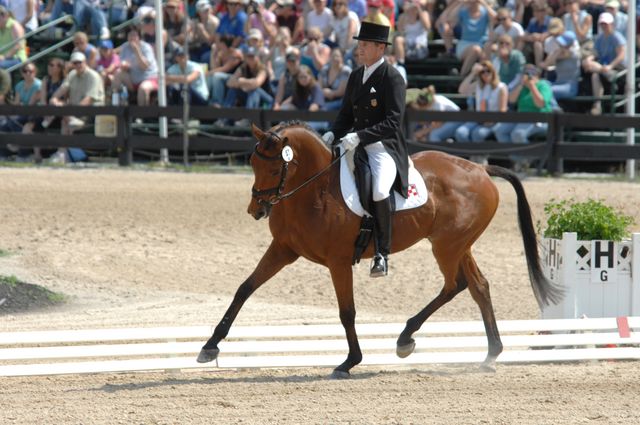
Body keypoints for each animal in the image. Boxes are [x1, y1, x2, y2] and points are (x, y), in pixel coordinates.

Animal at [198, 121, 564, 376]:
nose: (256, 210)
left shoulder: (338, 261)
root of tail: (480, 168)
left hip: (447, 246)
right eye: (251, 162)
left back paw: (406, 339)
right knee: (477, 286)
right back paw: (490, 353)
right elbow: (244, 289)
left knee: (455, 285)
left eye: (276, 168)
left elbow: (347, 312)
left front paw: (349, 361)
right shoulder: (283, 250)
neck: (316, 189)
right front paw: (209, 347)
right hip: (458, 244)